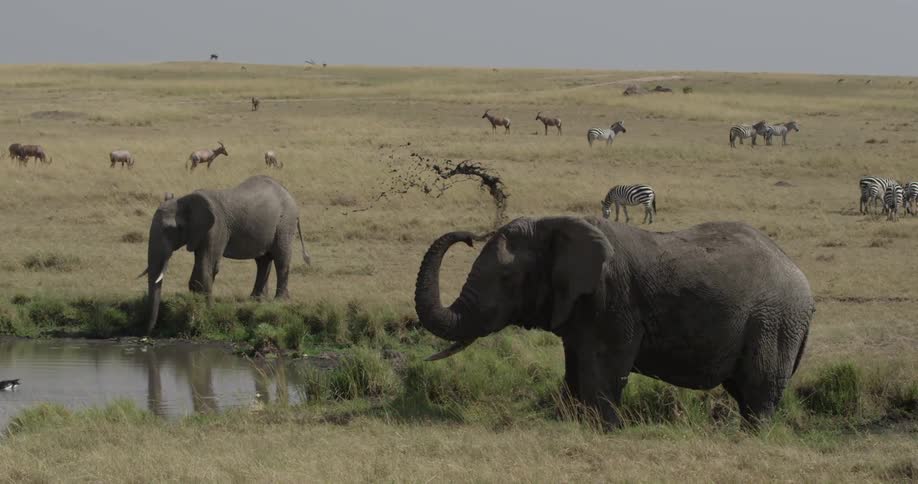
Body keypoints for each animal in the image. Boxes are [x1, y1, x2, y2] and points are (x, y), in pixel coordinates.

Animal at [139, 175, 311, 335]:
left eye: (170, 229)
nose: (148, 333)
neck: (186, 201)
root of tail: (287, 192)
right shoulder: (200, 233)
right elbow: (199, 267)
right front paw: (196, 304)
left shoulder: (216, 228)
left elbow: (207, 267)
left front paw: (208, 310)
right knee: (263, 260)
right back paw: (256, 300)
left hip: (285, 222)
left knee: (281, 258)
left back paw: (279, 301)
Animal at [415, 216, 814, 427]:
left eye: (507, 279)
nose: (468, 236)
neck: (553, 224)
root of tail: (802, 280)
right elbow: (576, 364)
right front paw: (571, 420)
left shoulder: (613, 300)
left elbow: (605, 365)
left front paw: (606, 428)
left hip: (774, 321)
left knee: (759, 388)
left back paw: (749, 434)